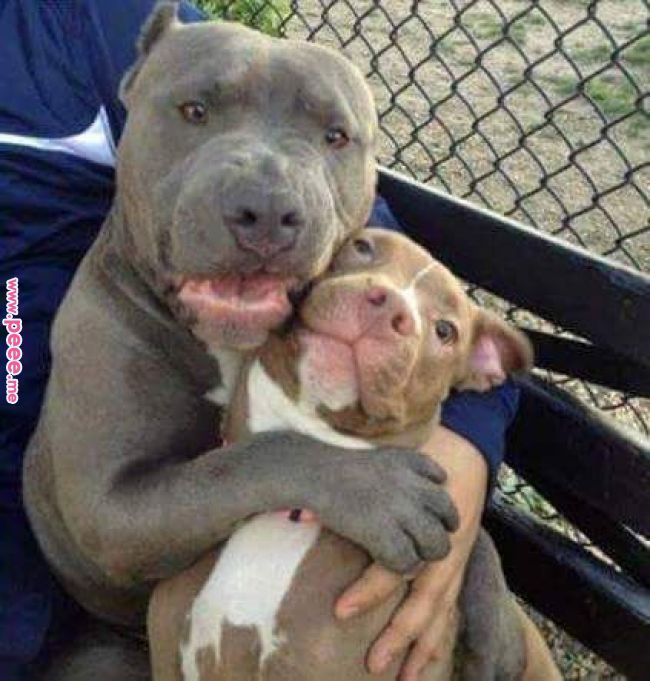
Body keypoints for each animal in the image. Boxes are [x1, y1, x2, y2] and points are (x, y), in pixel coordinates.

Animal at [21, 0, 456, 668]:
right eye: (194, 111)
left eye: (336, 135)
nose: (268, 209)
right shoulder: (110, 507)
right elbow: (239, 461)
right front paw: (373, 486)